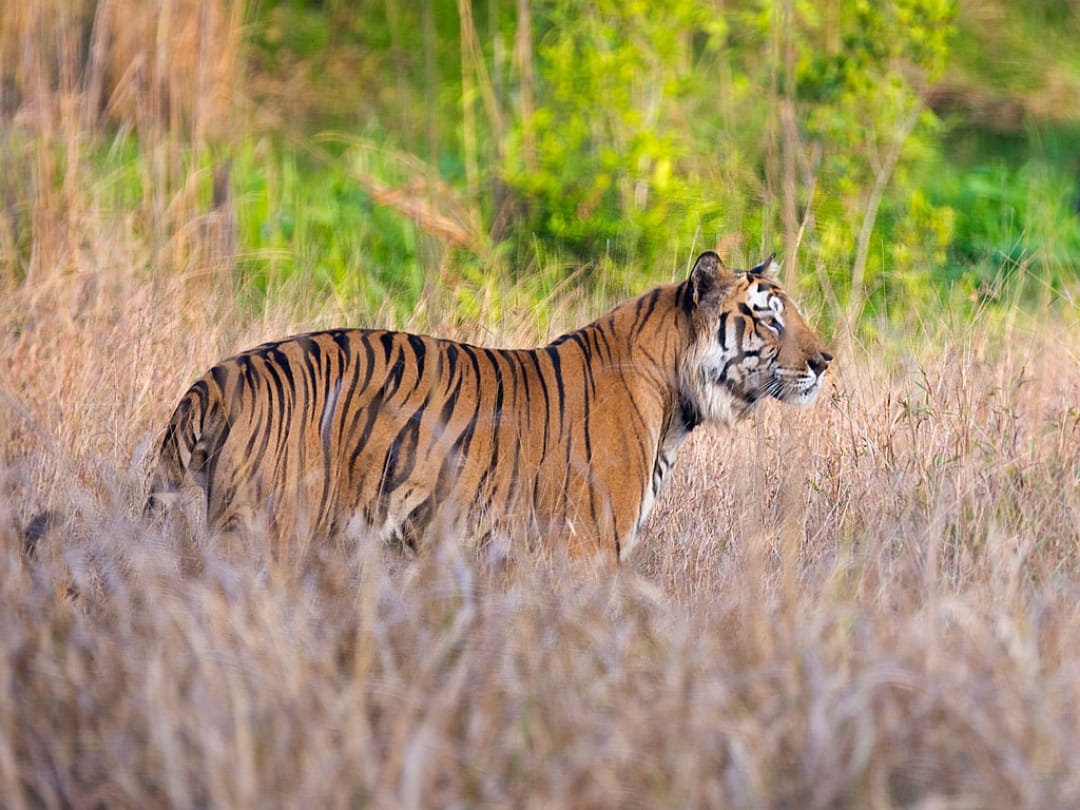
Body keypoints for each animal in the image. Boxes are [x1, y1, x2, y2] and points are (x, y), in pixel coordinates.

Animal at [148, 251, 832, 562]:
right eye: (768, 320)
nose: (826, 361)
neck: (675, 401)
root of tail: (219, 375)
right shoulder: (587, 550)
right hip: (266, 532)